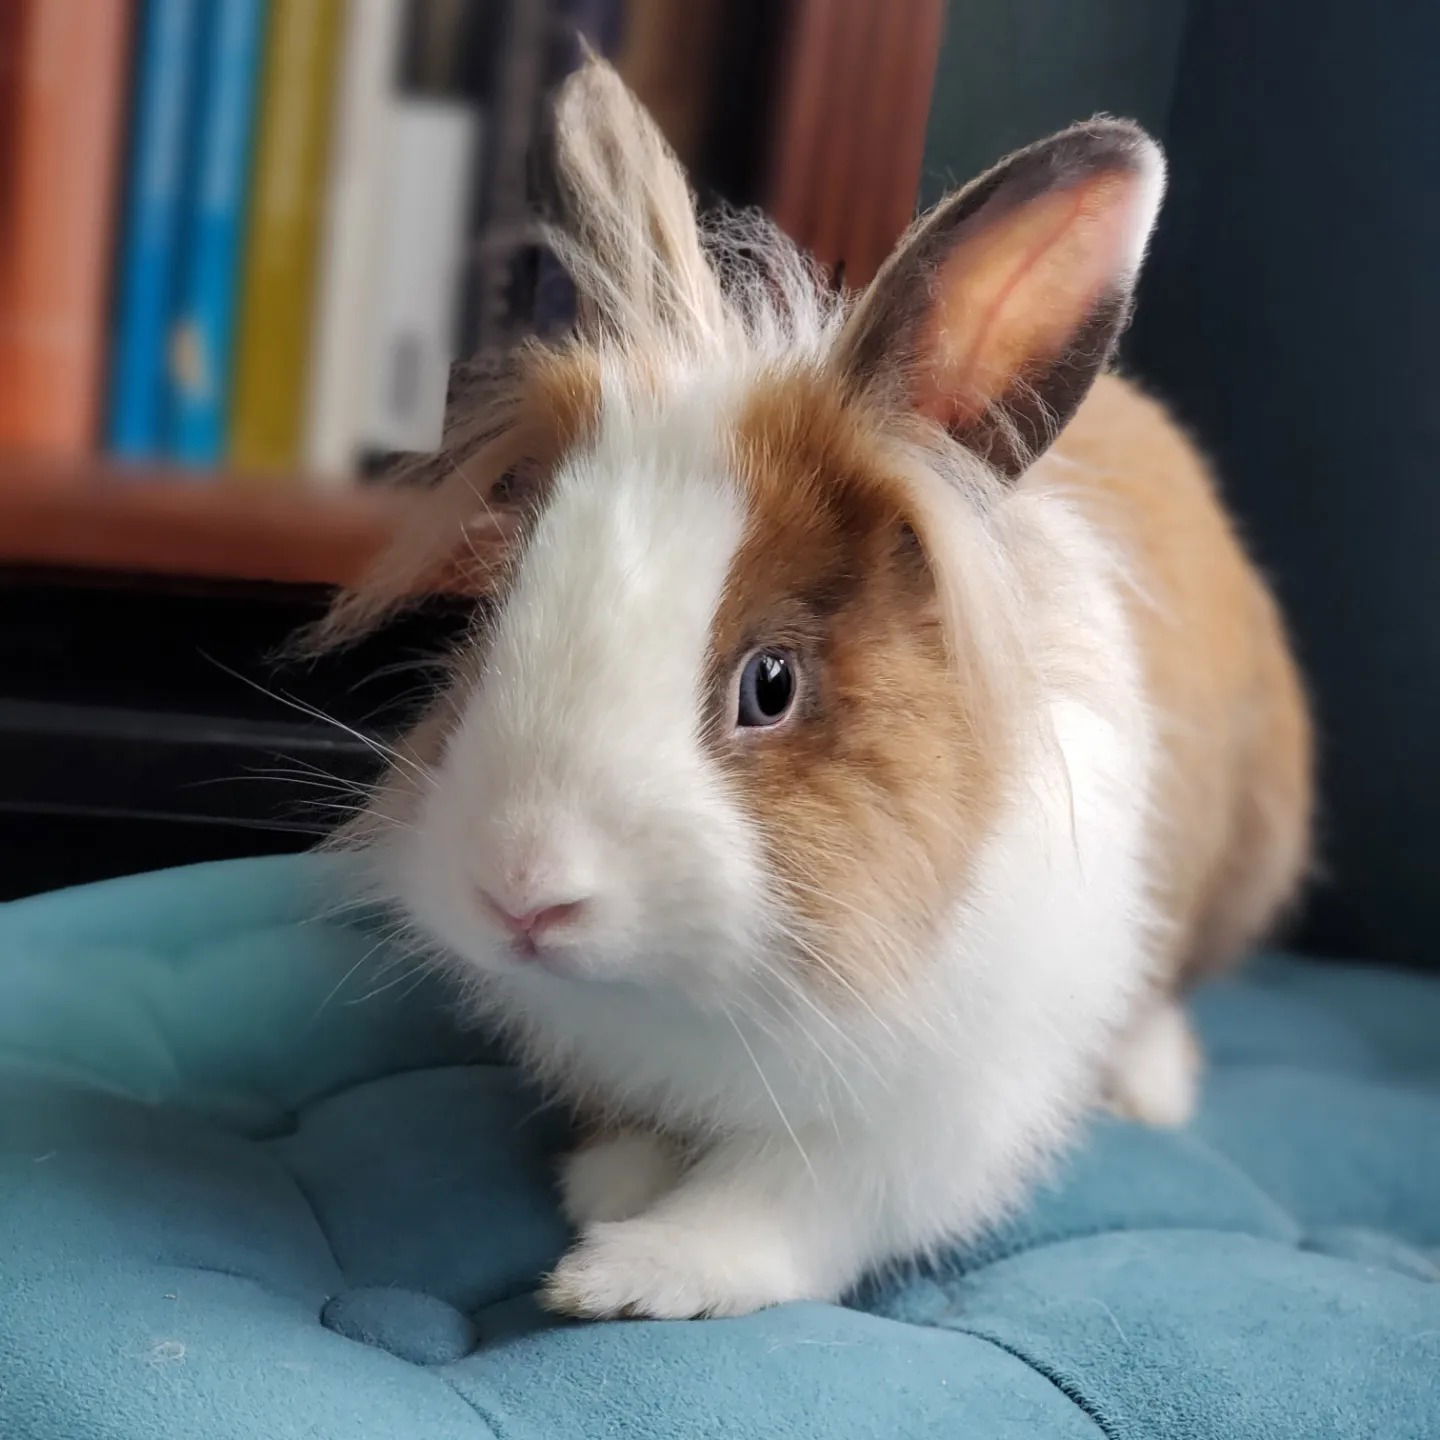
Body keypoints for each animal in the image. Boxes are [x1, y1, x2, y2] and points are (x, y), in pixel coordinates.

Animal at [318, 61, 1319, 1319]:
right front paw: (615, 1181)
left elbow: (784, 1213)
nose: (521, 894)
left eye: (771, 684)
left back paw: (1149, 1085)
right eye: (493, 618)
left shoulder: (923, 1123)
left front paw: (628, 1271)